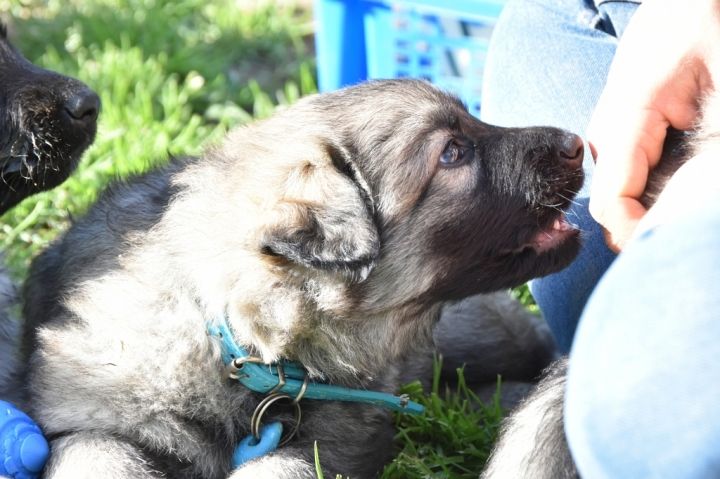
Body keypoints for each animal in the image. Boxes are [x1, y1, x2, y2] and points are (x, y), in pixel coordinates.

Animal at [19, 79, 584, 478]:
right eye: (451, 153)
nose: (576, 141)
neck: (230, 337)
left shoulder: (333, 436)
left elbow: (278, 468)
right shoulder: (85, 420)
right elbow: (99, 454)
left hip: (483, 334)